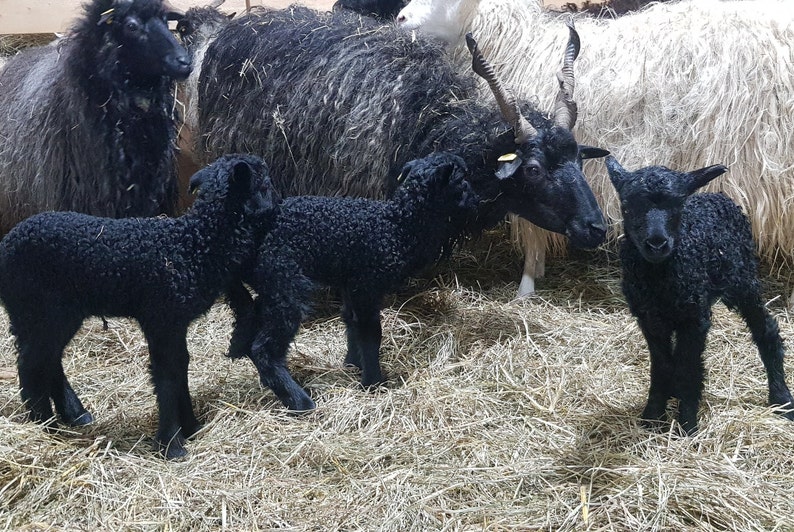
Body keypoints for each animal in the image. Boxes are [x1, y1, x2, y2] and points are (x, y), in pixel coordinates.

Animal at [0, 153, 278, 458]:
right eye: (265, 185)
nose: (277, 208)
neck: (195, 244)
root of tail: (7, 245)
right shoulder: (161, 317)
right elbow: (167, 375)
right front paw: (171, 444)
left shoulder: (174, 322)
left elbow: (181, 367)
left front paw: (191, 426)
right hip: (42, 309)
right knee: (31, 363)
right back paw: (44, 425)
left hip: (45, 314)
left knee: (48, 359)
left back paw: (75, 415)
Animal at [229, 153, 476, 412]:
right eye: (461, 181)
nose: (476, 201)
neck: (398, 227)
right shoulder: (367, 283)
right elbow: (370, 332)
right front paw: (373, 382)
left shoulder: (350, 282)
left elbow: (350, 322)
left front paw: (353, 365)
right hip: (284, 282)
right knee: (264, 349)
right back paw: (301, 402)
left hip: (269, 287)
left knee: (249, 338)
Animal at [608, 156, 792, 434]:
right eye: (627, 206)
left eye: (678, 205)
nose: (656, 244)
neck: (660, 279)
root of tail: (718, 196)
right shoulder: (648, 317)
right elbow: (662, 367)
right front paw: (652, 418)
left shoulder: (694, 317)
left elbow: (688, 369)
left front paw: (687, 425)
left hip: (743, 279)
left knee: (766, 330)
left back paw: (782, 398)